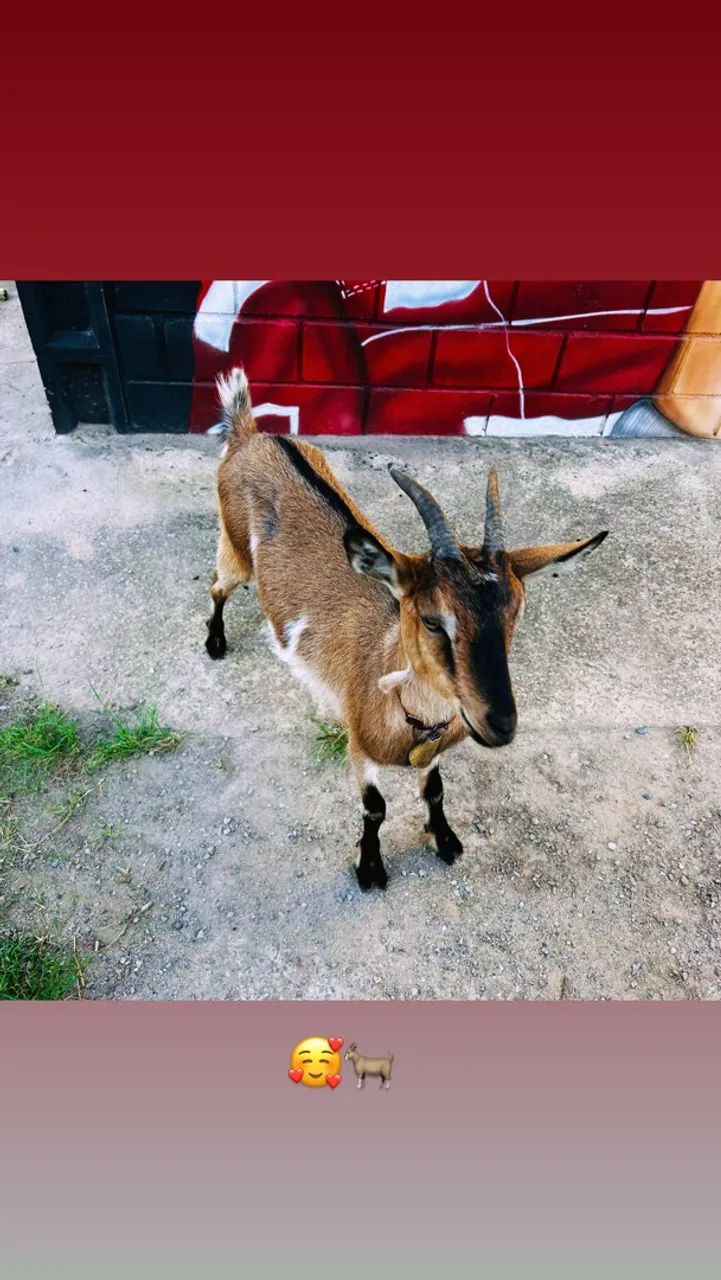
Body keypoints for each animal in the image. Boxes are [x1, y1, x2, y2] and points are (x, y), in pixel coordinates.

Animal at [206, 367, 608, 891]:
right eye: (433, 619)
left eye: (516, 614)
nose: (500, 723)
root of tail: (250, 435)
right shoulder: (358, 746)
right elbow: (374, 807)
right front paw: (371, 867)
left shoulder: (433, 752)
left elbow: (434, 790)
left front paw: (446, 840)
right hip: (234, 549)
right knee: (217, 587)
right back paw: (215, 642)